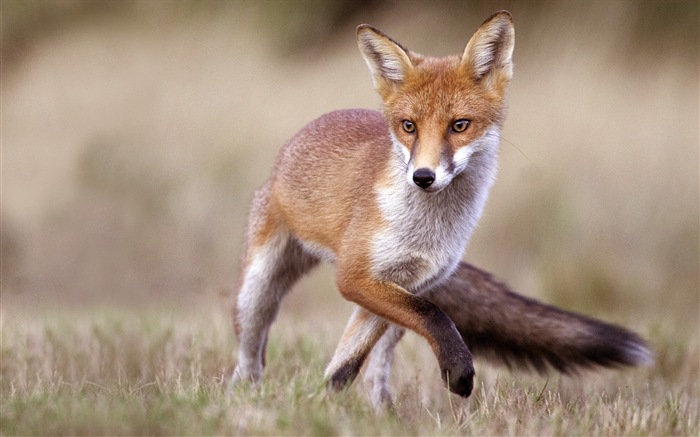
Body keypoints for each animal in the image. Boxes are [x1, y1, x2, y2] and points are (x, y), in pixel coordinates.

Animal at [232, 10, 652, 406]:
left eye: (459, 125)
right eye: (409, 126)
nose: (422, 176)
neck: (427, 231)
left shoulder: (408, 284)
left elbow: (349, 363)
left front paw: (326, 409)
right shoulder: (356, 277)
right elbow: (434, 315)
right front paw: (459, 371)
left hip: (385, 317)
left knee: (370, 367)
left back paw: (377, 411)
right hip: (258, 287)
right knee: (250, 352)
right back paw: (246, 395)